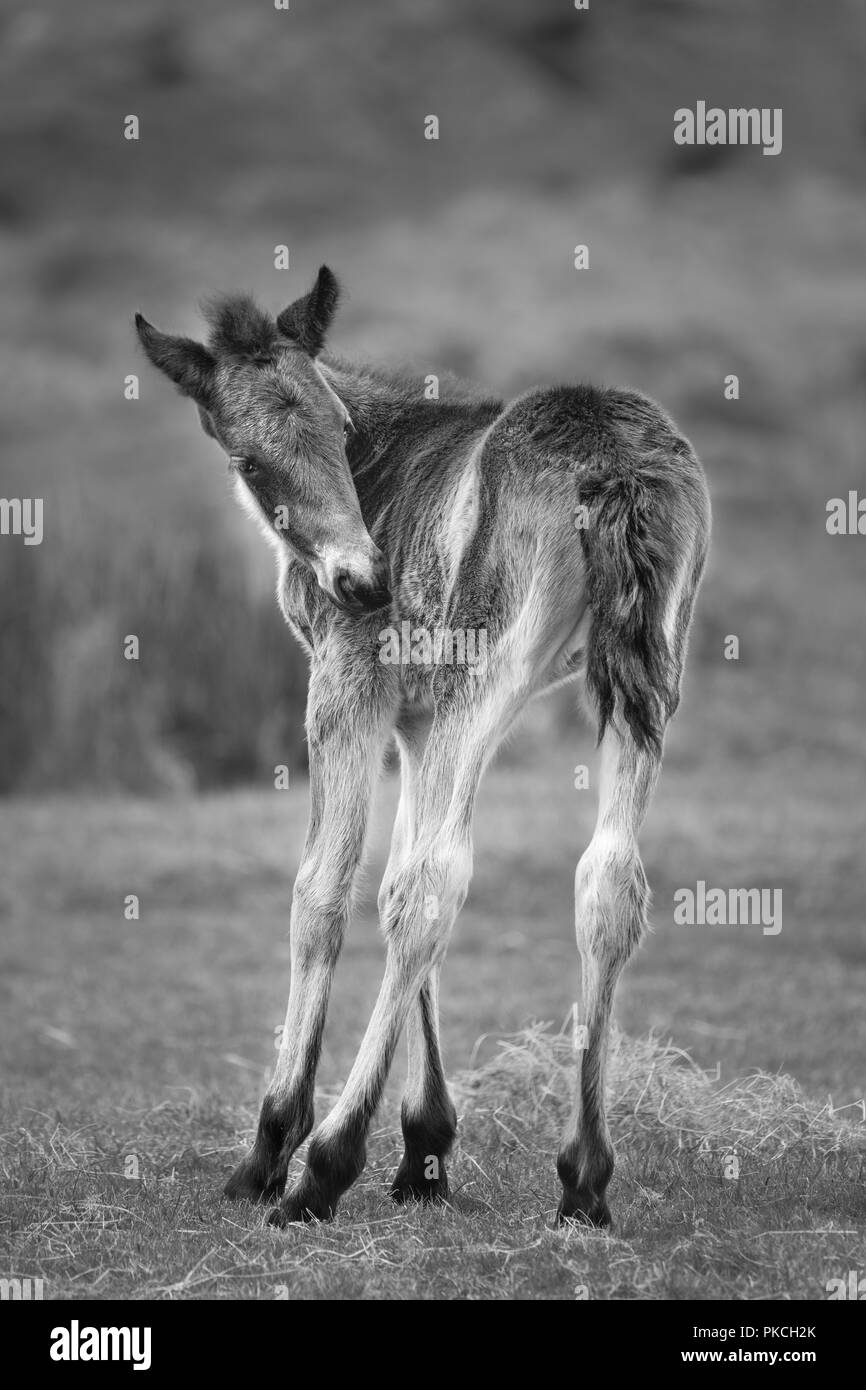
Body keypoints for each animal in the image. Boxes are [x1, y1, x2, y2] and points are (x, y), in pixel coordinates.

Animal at [136, 265, 711, 1223]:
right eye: (251, 460)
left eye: (339, 428)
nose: (365, 582)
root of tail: (613, 462)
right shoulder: (416, 715)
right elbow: (397, 870)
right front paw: (425, 1149)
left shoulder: (350, 685)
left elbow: (326, 890)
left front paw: (273, 1146)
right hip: (646, 676)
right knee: (605, 883)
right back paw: (583, 1180)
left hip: (486, 670)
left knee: (431, 886)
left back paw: (321, 1170)